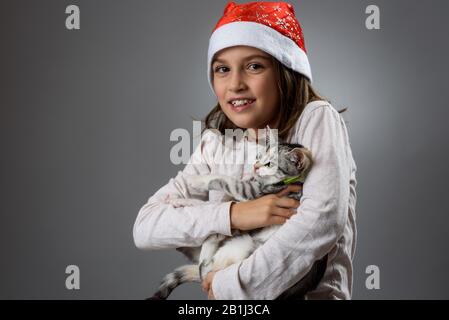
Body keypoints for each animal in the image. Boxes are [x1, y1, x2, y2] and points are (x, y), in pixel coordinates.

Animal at [149, 130, 328, 300]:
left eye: (269, 164)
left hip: (243, 249)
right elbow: (217, 204)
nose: (255, 166)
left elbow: (223, 181)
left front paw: (197, 181)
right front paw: (184, 200)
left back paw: (209, 243)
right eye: (259, 156)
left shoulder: (252, 192)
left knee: (205, 269)